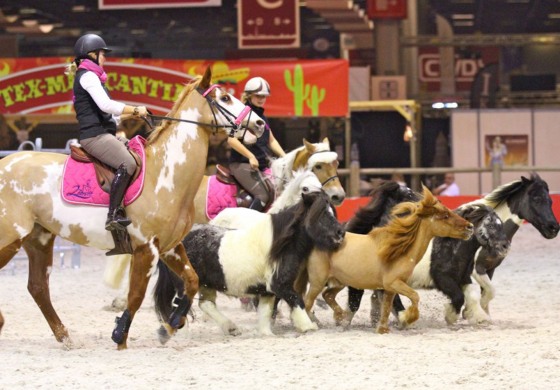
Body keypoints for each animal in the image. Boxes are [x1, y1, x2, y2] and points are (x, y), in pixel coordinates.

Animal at [0, 65, 264, 348]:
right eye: (224, 98)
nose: (259, 124)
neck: (165, 174)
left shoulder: (170, 247)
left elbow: (191, 282)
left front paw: (171, 325)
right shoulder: (146, 248)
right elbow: (136, 296)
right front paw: (120, 337)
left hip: (38, 238)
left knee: (38, 287)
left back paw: (64, 337)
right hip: (11, 238)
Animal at [154, 191, 346, 338]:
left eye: (333, 212)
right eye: (322, 214)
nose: (341, 232)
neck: (281, 245)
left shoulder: (267, 292)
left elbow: (266, 313)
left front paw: (266, 333)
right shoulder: (280, 286)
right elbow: (297, 300)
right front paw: (308, 326)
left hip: (206, 285)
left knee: (205, 305)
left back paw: (231, 328)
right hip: (186, 284)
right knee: (179, 305)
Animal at [302, 187, 472, 334]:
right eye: (445, 216)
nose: (470, 227)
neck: (398, 250)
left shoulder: (389, 288)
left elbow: (387, 308)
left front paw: (383, 329)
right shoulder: (393, 283)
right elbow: (414, 297)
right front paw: (407, 318)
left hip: (339, 282)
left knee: (327, 295)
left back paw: (337, 316)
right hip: (318, 282)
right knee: (308, 302)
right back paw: (310, 324)